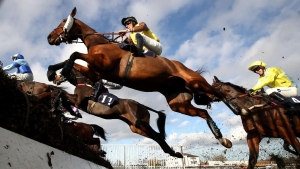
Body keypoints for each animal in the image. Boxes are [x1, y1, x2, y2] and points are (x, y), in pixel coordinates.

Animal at [47, 61, 183, 158]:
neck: (83, 82)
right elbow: (63, 95)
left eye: (61, 71)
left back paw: (174, 153)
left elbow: (62, 93)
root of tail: (143, 106)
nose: (55, 79)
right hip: (135, 127)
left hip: (141, 123)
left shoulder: (79, 100)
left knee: (158, 136)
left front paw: (56, 106)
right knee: (155, 137)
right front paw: (59, 107)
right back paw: (172, 152)